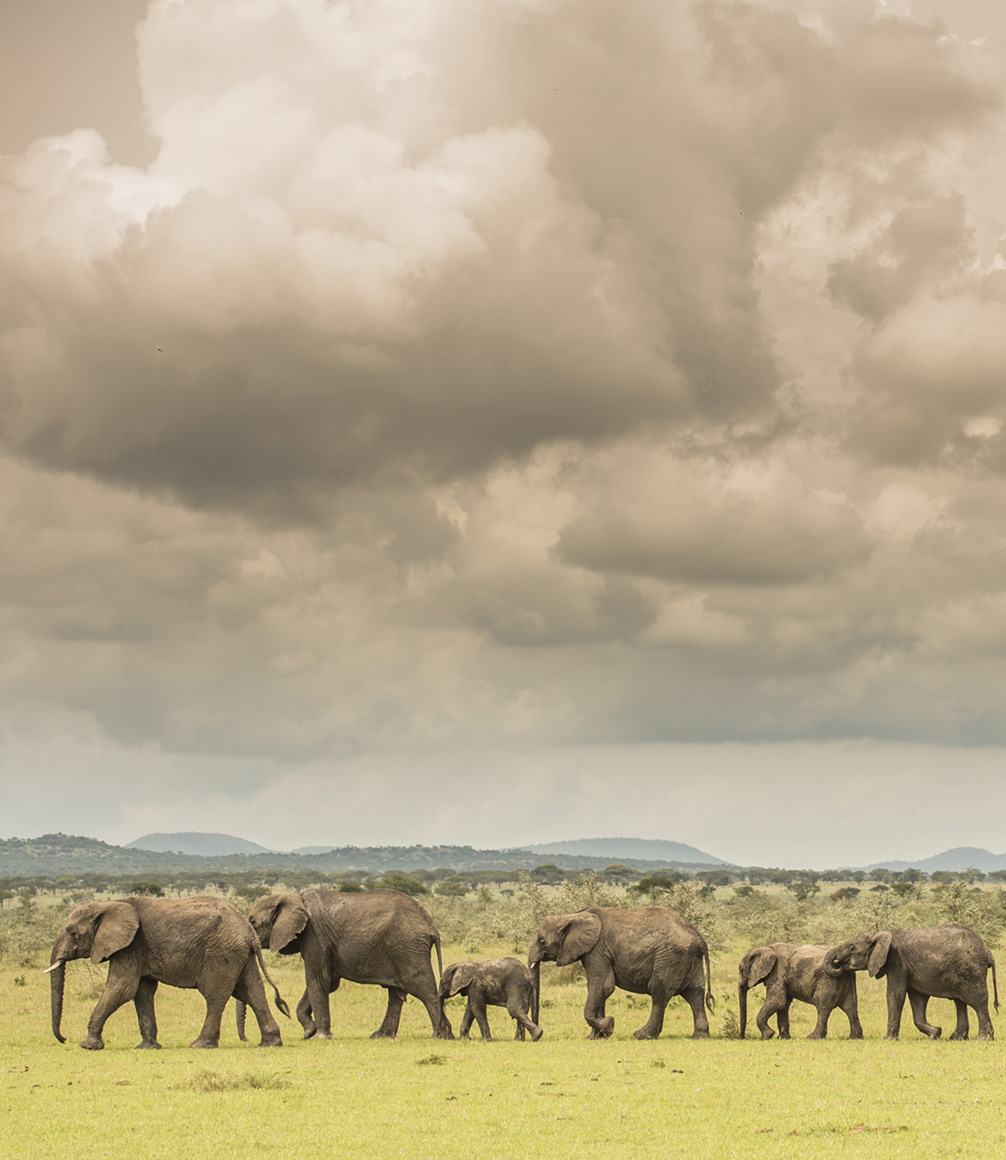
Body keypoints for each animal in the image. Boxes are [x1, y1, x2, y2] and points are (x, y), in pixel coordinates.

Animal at [47, 895, 289, 1050]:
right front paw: (147, 1047)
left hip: (221, 954)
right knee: (252, 992)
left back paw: (200, 1045)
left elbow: (122, 989)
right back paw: (270, 1043)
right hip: (241, 955)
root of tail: (248, 931)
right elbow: (141, 992)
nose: (64, 1039)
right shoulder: (138, 951)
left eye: (72, 932)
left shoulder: (130, 947)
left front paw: (87, 1045)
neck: (107, 905)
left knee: (215, 996)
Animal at [248, 888, 453, 1040]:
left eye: (252, 921)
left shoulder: (315, 936)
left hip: (408, 947)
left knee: (423, 987)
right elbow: (328, 982)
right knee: (396, 993)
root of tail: (431, 926)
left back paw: (439, 1036)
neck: (293, 896)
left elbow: (318, 980)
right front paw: (308, 1032)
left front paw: (318, 1037)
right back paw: (382, 1036)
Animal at [527, 906, 713, 1039]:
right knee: (695, 994)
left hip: (670, 958)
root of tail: (699, 938)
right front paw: (596, 1036)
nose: (539, 1033)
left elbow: (603, 986)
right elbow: (598, 989)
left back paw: (642, 1035)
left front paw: (608, 1026)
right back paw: (700, 1037)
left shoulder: (597, 950)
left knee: (659, 993)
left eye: (542, 941)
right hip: (689, 959)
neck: (573, 915)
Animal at [828, 923, 999, 1040]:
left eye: (851, 948)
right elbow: (918, 999)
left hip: (971, 970)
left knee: (978, 1002)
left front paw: (888, 1039)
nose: (838, 963)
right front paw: (935, 1033)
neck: (882, 933)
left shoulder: (897, 961)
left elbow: (895, 995)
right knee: (960, 1002)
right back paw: (956, 1038)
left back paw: (982, 1039)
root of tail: (987, 951)